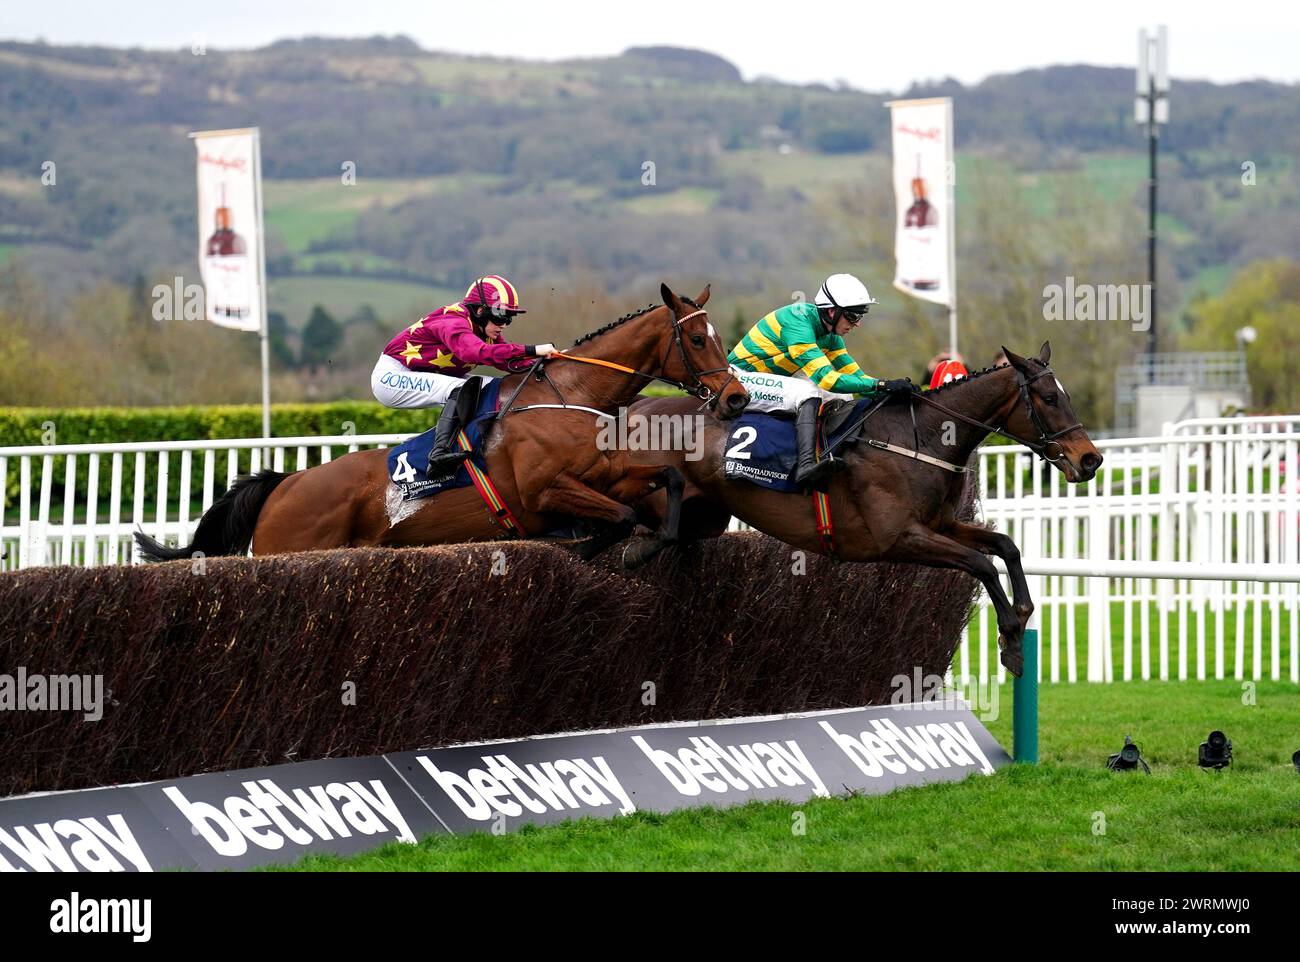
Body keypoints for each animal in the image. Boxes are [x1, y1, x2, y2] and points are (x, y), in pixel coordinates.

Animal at [135, 286, 748, 566]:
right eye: (698, 339)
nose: (737, 398)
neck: (568, 396)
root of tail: (287, 484)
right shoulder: (545, 490)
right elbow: (619, 519)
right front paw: (591, 548)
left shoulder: (606, 476)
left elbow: (665, 483)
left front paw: (647, 544)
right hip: (289, 544)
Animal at [624, 343, 1102, 676]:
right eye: (1048, 398)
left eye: (1065, 396)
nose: (1090, 460)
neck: (922, 438)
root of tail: (640, 404)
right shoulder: (899, 537)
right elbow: (981, 563)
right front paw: (1012, 639)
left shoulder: (941, 524)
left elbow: (1005, 546)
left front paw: (1019, 624)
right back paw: (634, 553)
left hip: (705, 516)